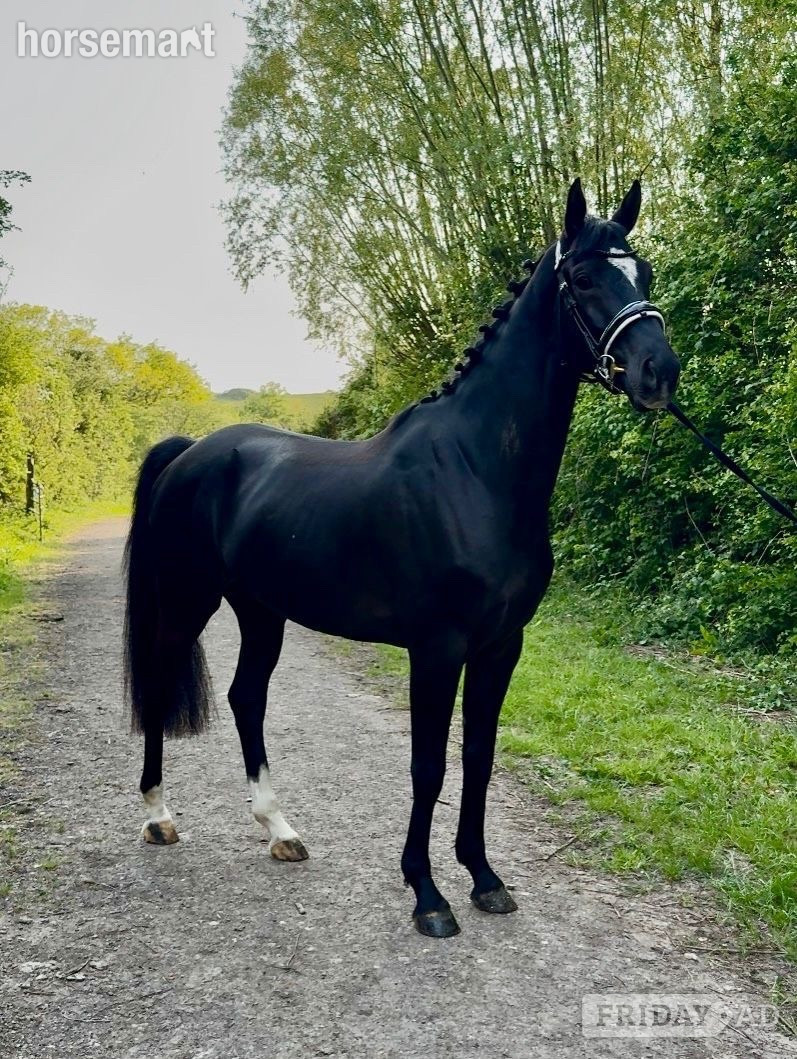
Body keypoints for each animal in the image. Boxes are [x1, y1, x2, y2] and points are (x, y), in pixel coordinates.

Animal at [123, 179, 680, 938]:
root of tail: (190, 451)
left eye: (642, 272)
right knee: (159, 685)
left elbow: (478, 758)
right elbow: (427, 766)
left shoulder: (501, 645)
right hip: (187, 600)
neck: (475, 470)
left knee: (247, 697)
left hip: (261, 610)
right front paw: (427, 893)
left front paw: (483, 878)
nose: (660, 371)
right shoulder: (436, 647)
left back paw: (279, 829)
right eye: (586, 278)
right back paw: (158, 817)